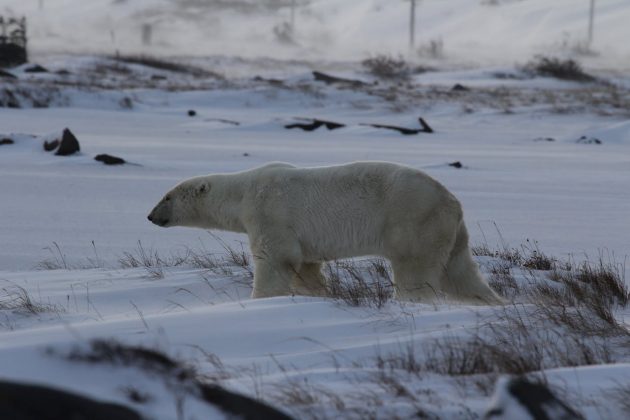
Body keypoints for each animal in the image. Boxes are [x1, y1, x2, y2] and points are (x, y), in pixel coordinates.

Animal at [147, 162, 504, 304]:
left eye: (167, 196)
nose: (150, 216)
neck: (243, 191)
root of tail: (453, 201)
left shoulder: (269, 212)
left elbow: (275, 259)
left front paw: (260, 299)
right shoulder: (302, 239)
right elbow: (306, 268)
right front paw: (318, 294)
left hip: (414, 221)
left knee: (415, 270)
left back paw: (410, 300)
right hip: (449, 231)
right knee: (460, 273)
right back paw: (492, 302)